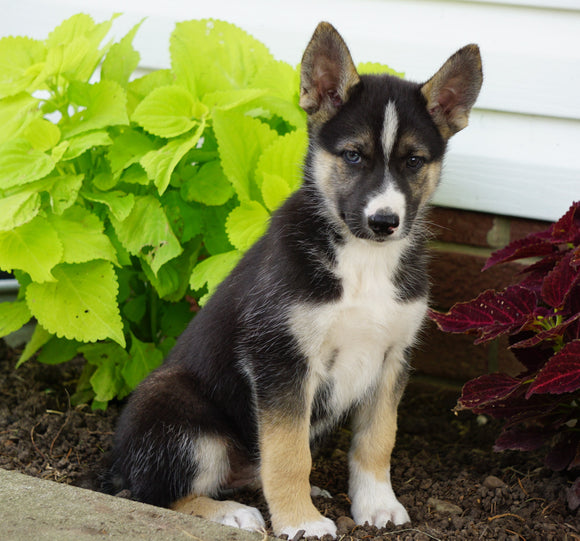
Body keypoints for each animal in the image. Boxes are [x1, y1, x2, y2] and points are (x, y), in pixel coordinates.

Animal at [105, 23, 484, 536]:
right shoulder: (280, 359)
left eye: (413, 161)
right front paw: (301, 522)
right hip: (179, 412)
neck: (362, 259)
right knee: (155, 494)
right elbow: (288, 454)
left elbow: (377, 440)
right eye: (352, 156)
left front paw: (376, 506)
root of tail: (116, 466)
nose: (384, 221)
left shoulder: (392, 357)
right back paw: (234, 513)